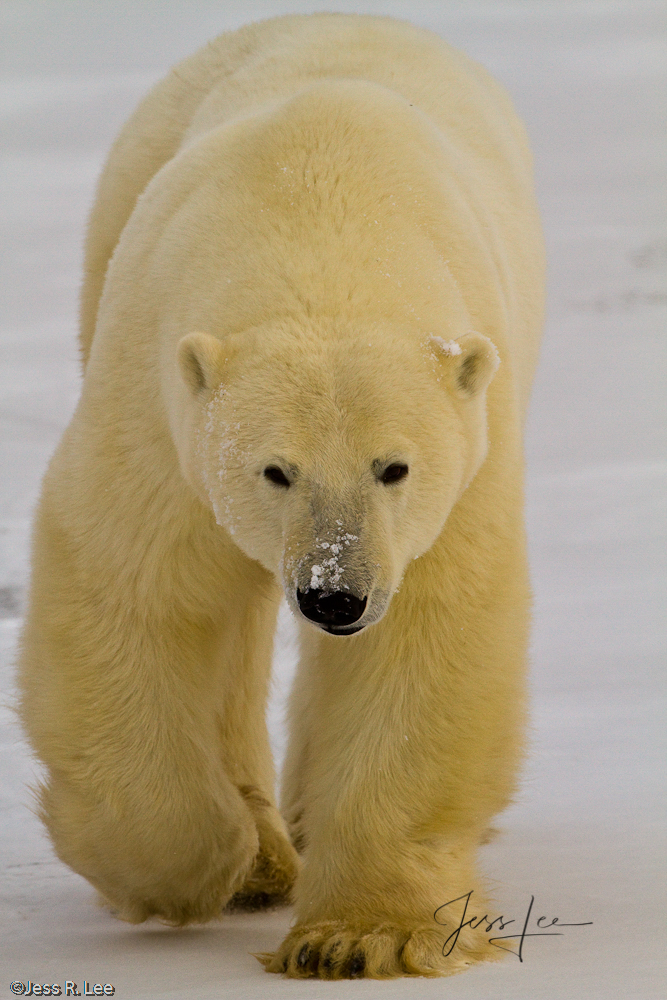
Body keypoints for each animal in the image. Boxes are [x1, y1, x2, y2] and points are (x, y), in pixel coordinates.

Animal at [19, 13, 544, 984]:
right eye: (275, 470)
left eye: (393, 467)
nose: (334, 596)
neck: (318, 217)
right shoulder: (161, 408)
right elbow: (132, 589)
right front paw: (191, 870)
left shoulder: (465, 460)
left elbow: (424, 639)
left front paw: (359, 937)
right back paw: (263, 857)